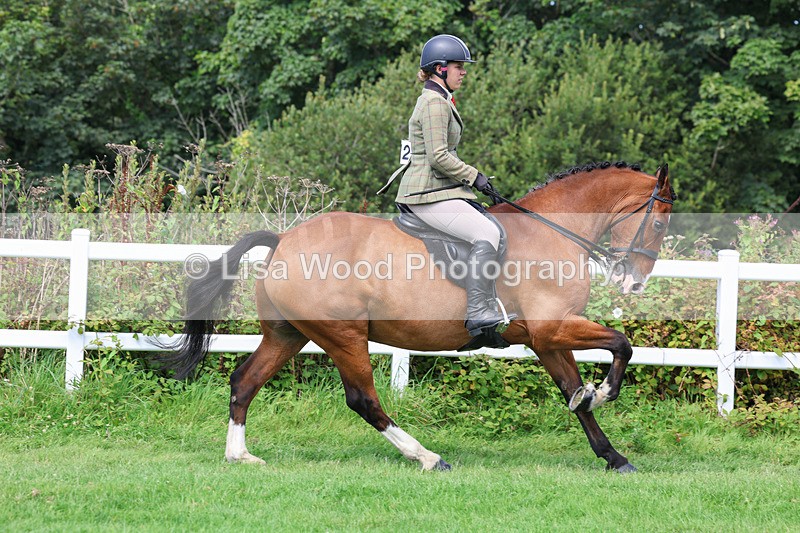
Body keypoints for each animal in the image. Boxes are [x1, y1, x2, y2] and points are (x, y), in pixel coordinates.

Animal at [160, 162, 675, 473]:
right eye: (658, 222)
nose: (634, 283)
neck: (552, 230)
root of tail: (285, 239)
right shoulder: (554, 328)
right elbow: (622, 344)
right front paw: (604, 393)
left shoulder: (545, 339)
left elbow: (574, 393)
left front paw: (613, 454)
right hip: (344, 336)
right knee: (362, 399)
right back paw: (427, 457)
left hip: (287, 335)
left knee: (244, 381)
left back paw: (239, 455)